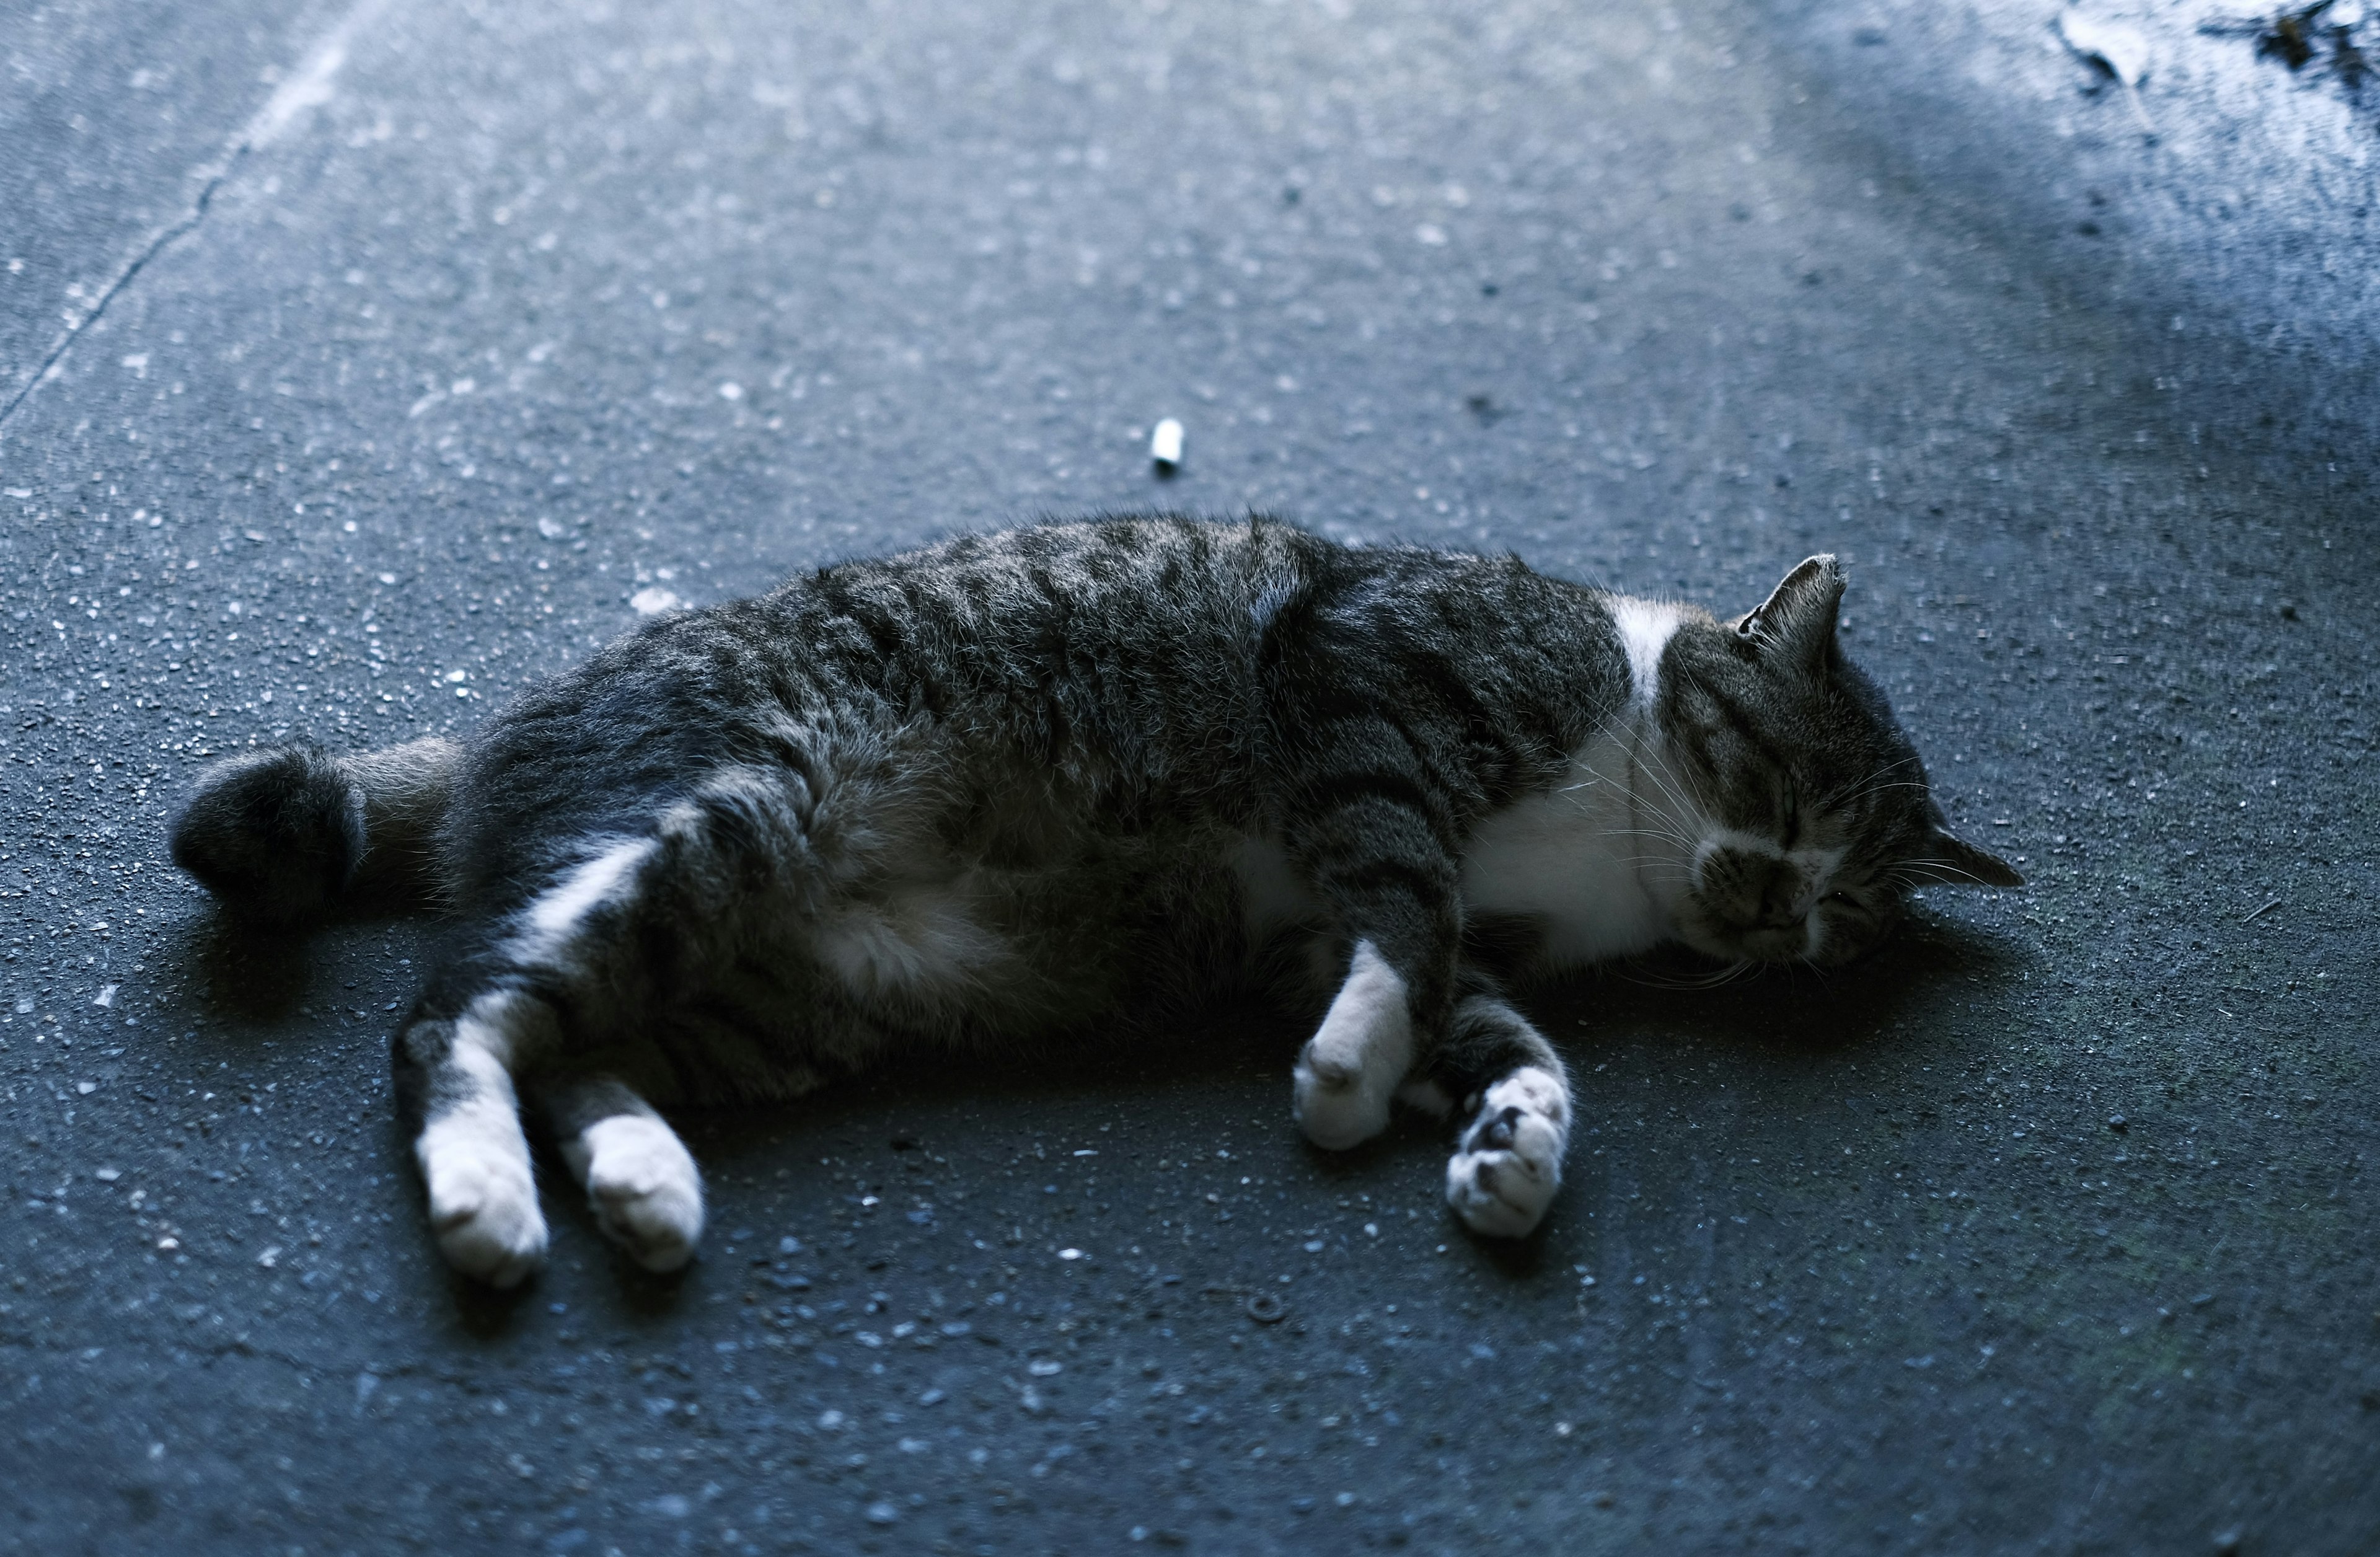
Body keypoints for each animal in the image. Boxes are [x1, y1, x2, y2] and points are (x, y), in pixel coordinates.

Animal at [172, 519, 2027, 1286]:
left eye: (1843, 917)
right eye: (1781, 801)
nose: (1770, 914)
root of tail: (509, 727)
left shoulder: (1314, 938)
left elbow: (1502, 1027)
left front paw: (1507, 1151)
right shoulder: (1355, 677)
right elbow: (1413, 902)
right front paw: (1353, 1084)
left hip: (783, 996)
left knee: (570, 1043)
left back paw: (639, 1181)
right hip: (738, 813)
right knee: (448, 1020)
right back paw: (490, 1204)